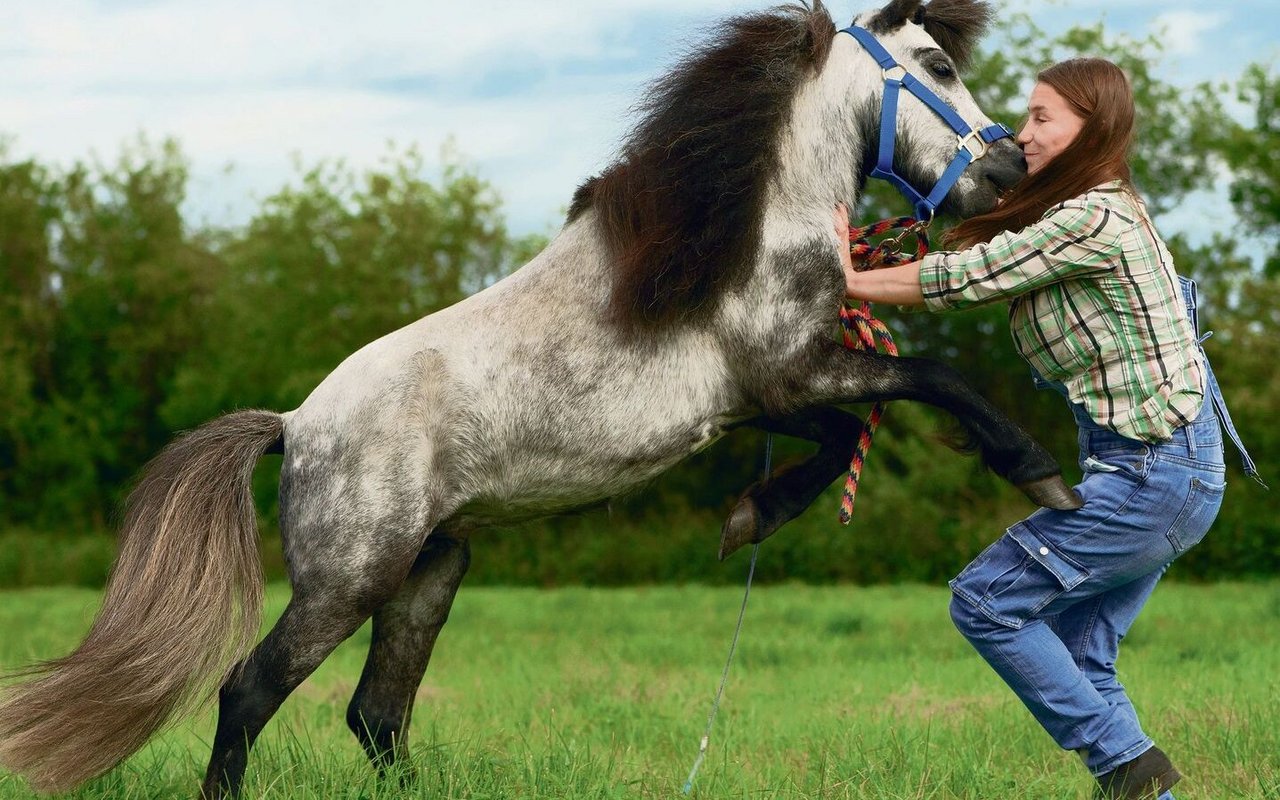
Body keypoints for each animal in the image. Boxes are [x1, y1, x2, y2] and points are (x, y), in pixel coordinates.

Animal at [0, 0, 1080, 793]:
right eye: (935, 63)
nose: (1004, 168)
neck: (742, 233)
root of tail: (296, 426)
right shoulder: (791, 372)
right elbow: (932, 384)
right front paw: (1042, 477)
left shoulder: (770, 398)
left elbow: (845, 436)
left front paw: (749, 515)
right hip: (349, 579)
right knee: (249, 692)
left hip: (431, 570)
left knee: (375, 713)